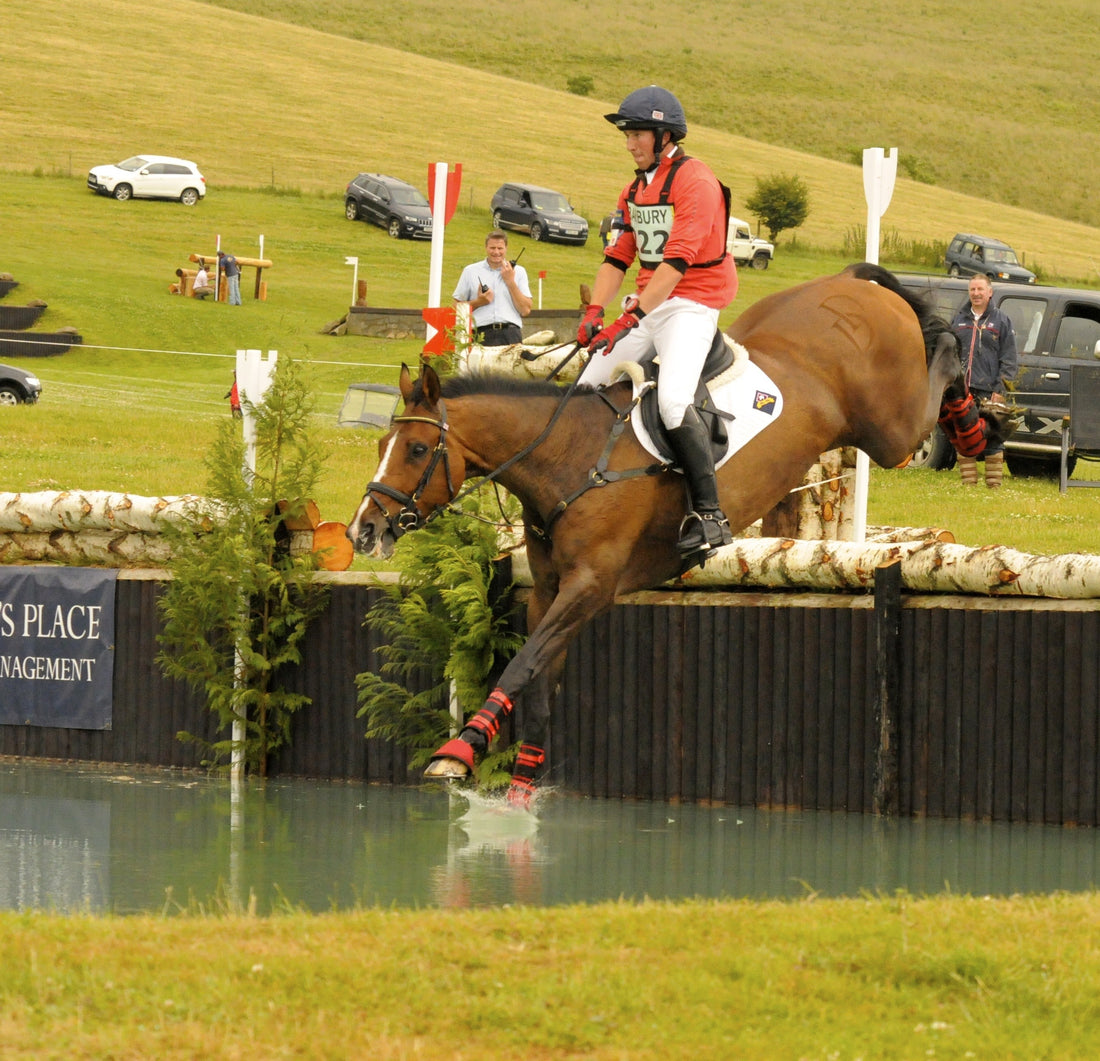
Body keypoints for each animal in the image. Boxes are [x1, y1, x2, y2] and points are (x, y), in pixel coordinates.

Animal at [347, 262, 968, 804]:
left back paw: (966, 398)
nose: (363, 531)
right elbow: (540, 690)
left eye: (417, 450)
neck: (565, 458)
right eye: (380, 445)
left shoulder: (591, 587)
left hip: (889, 430)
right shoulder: (549, 593)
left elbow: (522, 664)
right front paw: (520, 799)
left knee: (933, 383)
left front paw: (458, 750)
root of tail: (848, 282)